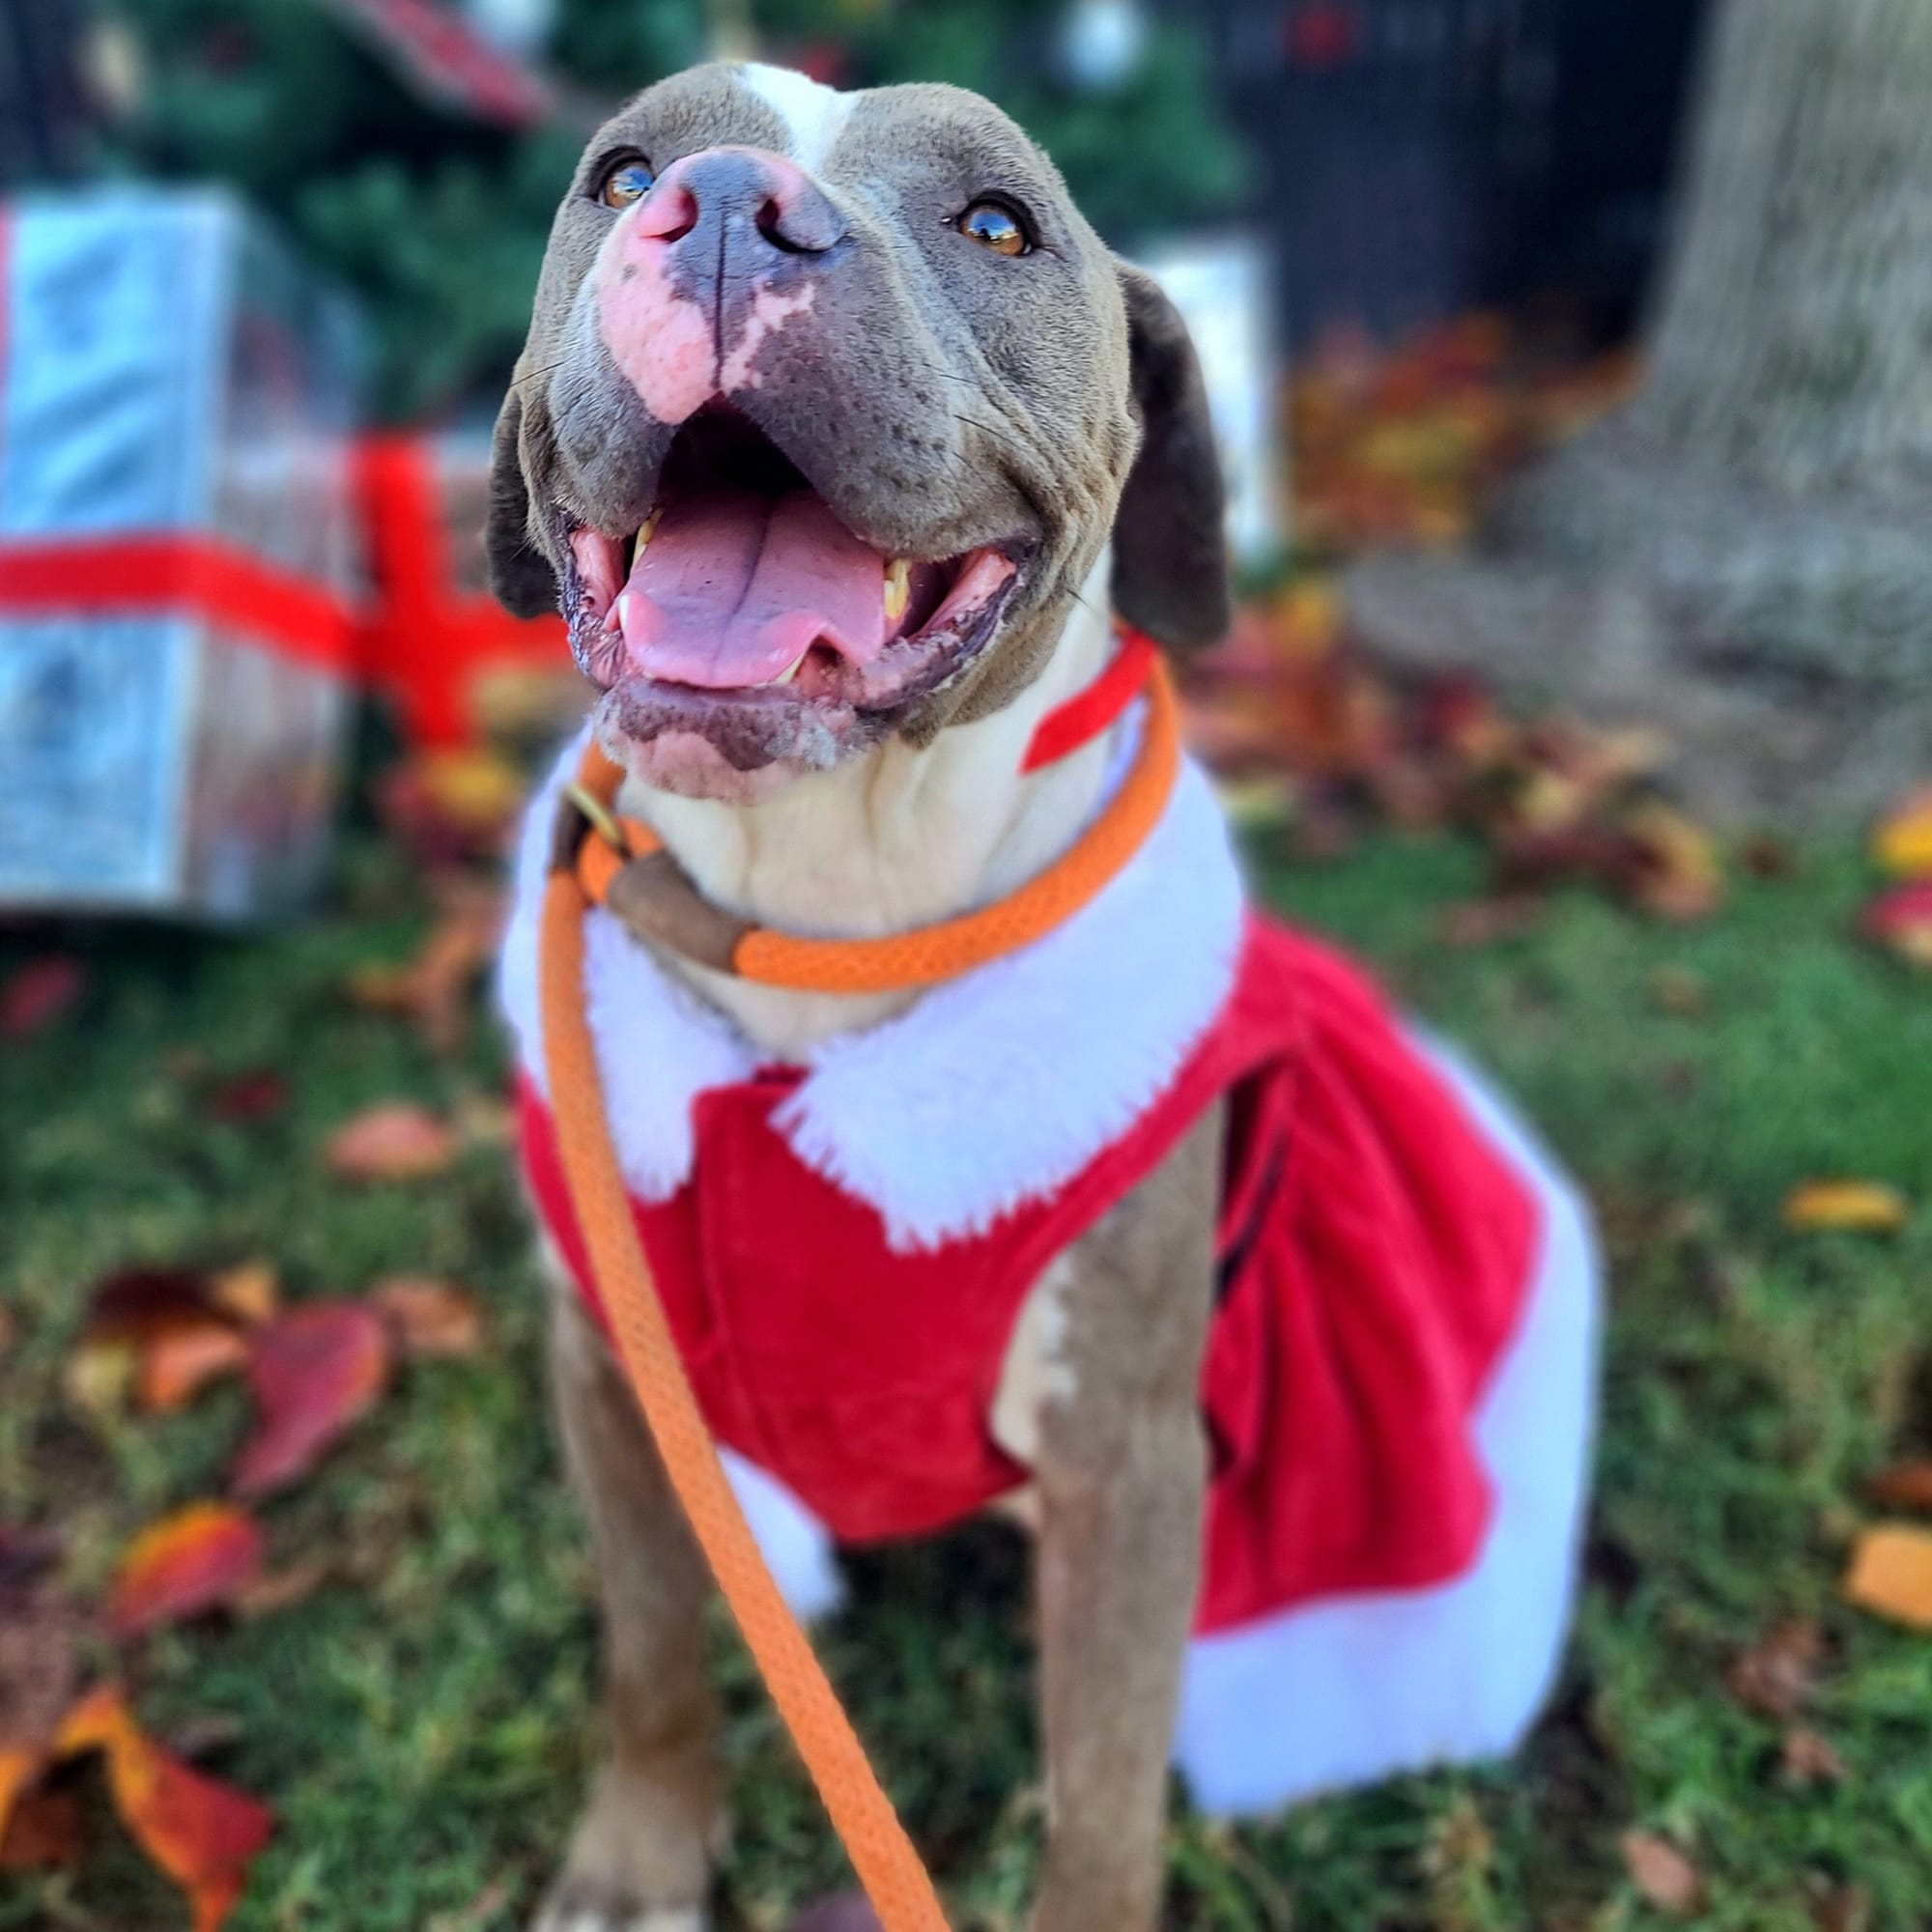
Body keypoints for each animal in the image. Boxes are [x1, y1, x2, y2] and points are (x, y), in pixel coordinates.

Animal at [487, 60, 1600, 1932]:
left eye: (997, 221)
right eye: (621, 172)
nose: (726, 211)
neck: (829, 907)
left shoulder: (1126, 1462)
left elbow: (1102, 1799)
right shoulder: (608, 1373)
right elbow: (651, 1650)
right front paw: (638, 1858)